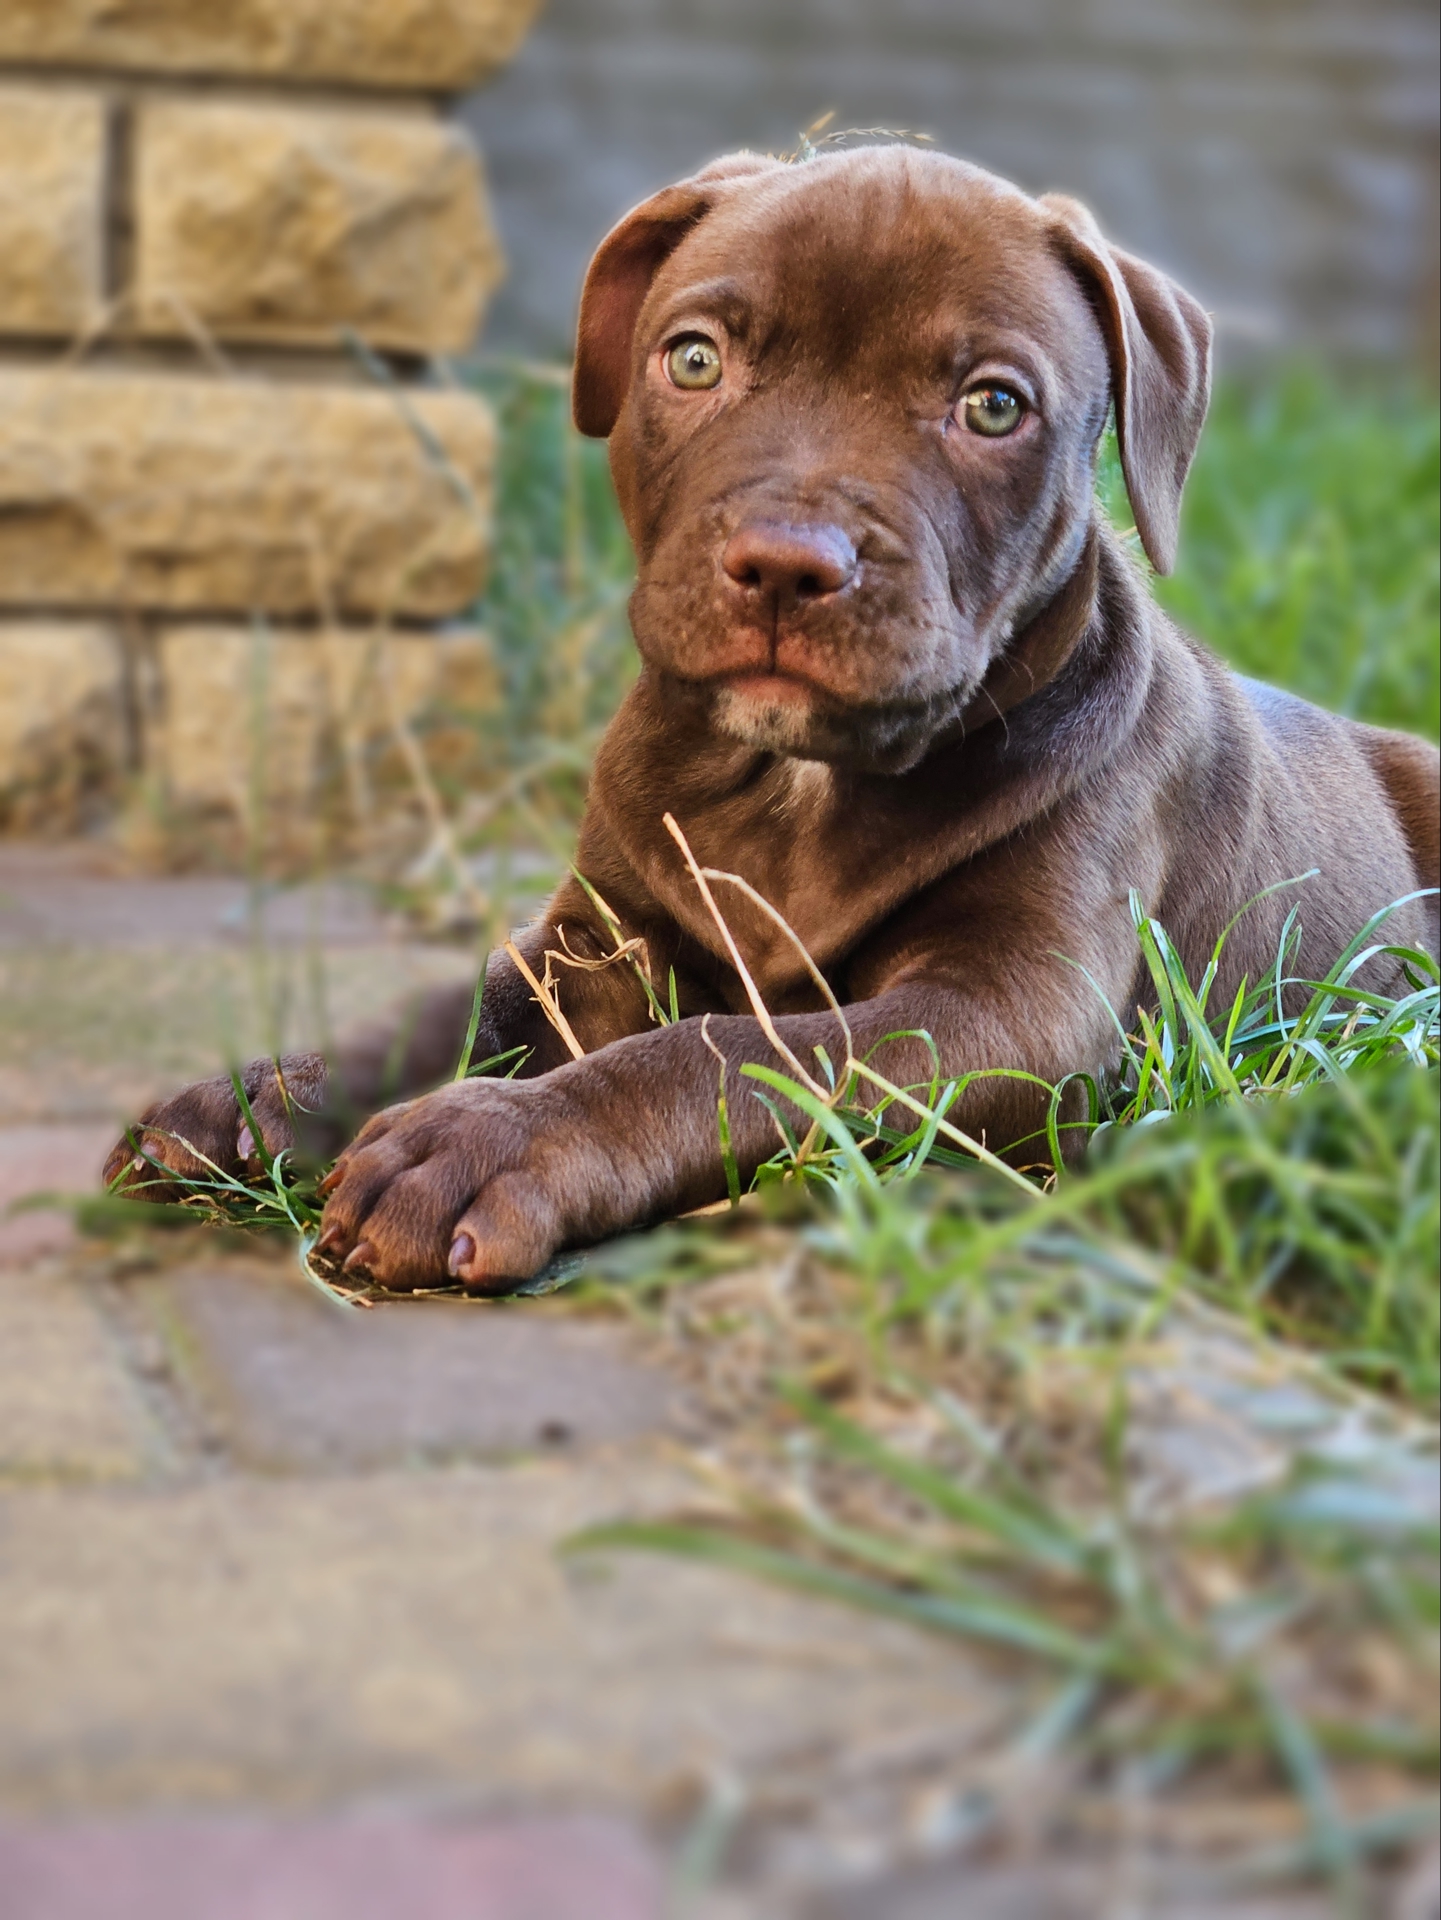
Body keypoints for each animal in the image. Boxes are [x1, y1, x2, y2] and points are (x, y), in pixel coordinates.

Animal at [109, 149, 1441, 1290]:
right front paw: (264, 1093)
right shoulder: (593, 940)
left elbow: (731, 1050)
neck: (791, 779)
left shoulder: (1008, 1007)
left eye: (993, 406)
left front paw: (491, 1142)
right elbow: (456, 1004)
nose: (789, 564)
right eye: (694, 362)